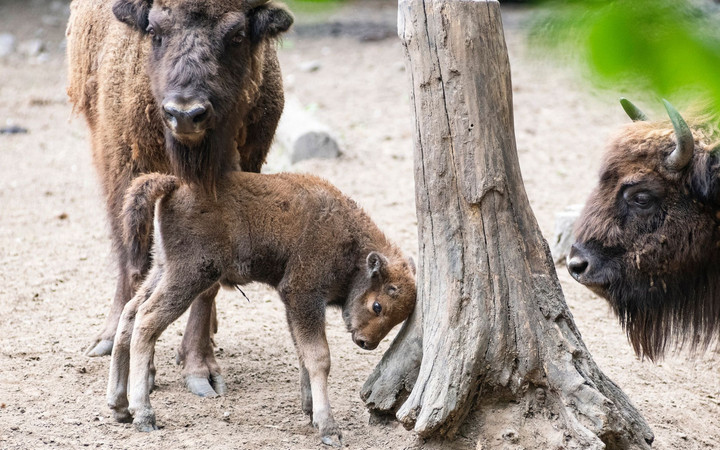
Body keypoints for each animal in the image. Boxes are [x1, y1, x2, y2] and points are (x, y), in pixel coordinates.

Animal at [65, 0, 292, 396]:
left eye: (237, 35)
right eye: (155, 32)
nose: (185, 114)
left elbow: (207, 282)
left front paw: (200, 370)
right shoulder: (126, 172)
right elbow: (136, 266)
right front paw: (141, 369)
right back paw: (106, 339)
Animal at [109, 171, 420, 444]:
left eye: (398, 318)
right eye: (377, 306)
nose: (366, 342)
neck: (350, 241)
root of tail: (177, 183)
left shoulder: (294, 306)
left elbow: (303, 354)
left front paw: (310, 411)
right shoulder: (303, 297)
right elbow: (319, 357)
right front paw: (329, 429)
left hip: (162, 269)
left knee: (130, 313)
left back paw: (119, 406)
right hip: (190, 275)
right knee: (146, 320)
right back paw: (144, 416)